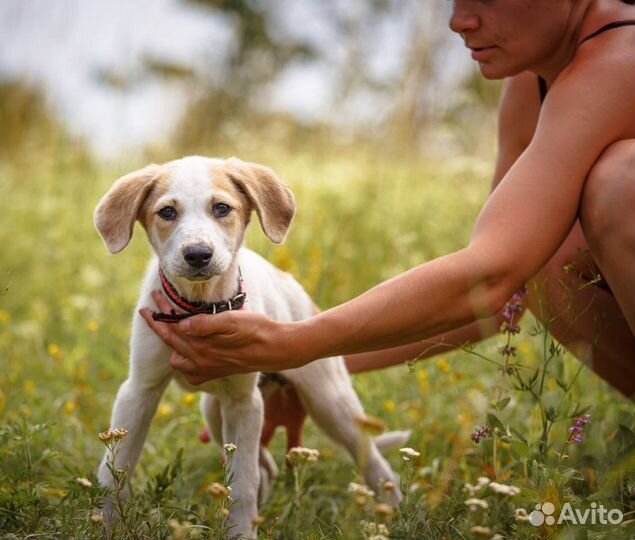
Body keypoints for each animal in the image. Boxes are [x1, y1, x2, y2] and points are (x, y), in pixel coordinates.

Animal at [94, 156, 400, 540]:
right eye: (167, 212)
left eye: (222, 208)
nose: (198, 255)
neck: (200, 306)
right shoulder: (139, 390)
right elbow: (115, 469)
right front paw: (104, 525)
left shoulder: (244, 401)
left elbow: (241, 484)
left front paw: (239, 532)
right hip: (215, 412)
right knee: (265, 466)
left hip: (328, 400)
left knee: (374, 461)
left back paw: (393, 513)